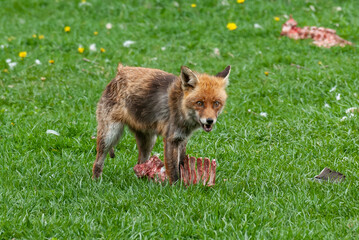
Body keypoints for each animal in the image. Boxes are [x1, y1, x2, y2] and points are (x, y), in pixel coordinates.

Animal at [93, 63, 232, 184]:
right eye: (199, 103)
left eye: (216, 103)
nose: (210, 120)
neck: (181, 109)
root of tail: (121, 70)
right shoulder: (171, 139)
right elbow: (173, 169)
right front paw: (177, 189)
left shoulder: (182, 139)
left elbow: (181, 164)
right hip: (110, 135)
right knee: (98, 162)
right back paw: (96, 182)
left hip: (149, 141)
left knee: (140, 164)